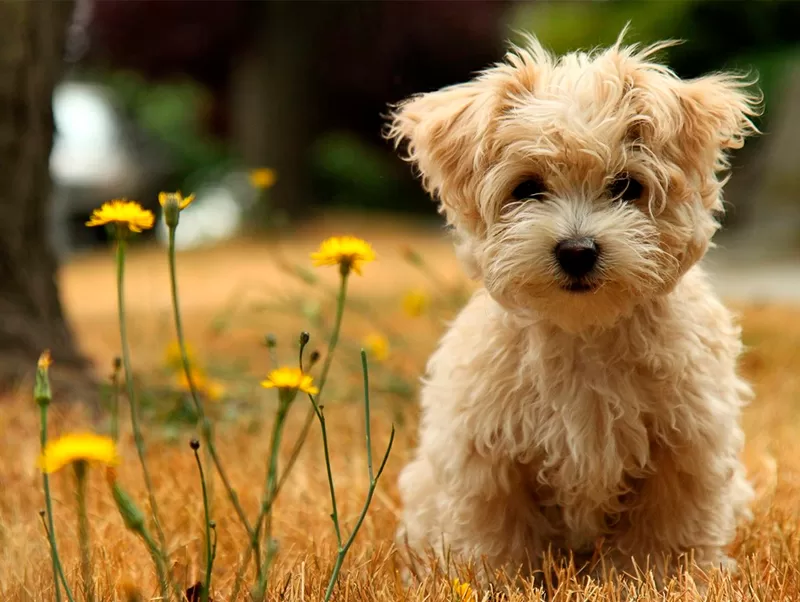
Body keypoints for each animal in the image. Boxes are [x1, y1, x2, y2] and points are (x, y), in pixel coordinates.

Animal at [384, 30, 760, 584]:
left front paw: (654, 578)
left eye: (626, 186)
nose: (577, 250)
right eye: (527, 188)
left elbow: (663, 529)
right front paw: (499, 582)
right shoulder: (487, 451)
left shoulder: (686, 444)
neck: (585, 331)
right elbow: (498, 532)